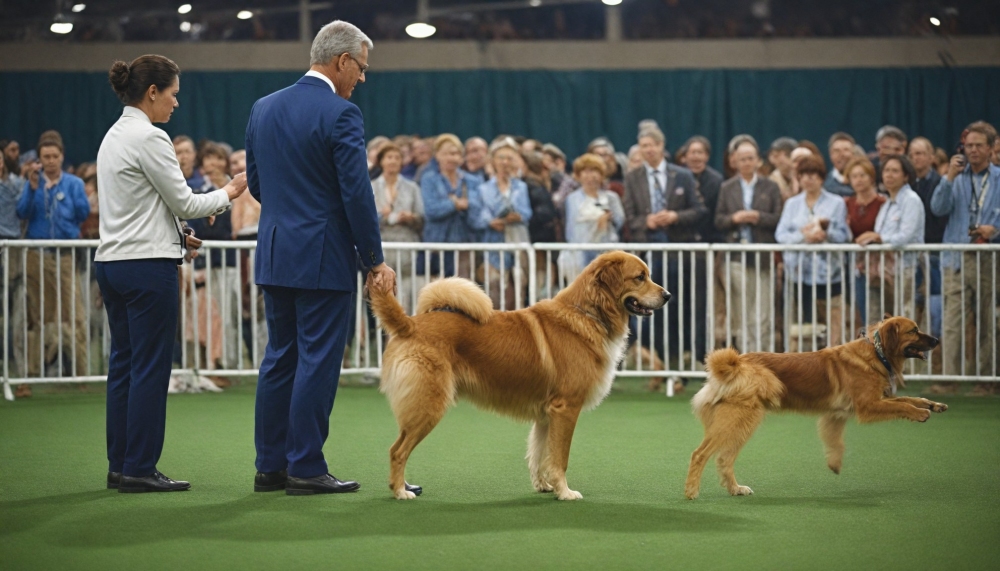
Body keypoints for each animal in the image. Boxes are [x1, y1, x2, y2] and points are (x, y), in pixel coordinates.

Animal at [368, 251, 672, 500]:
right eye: (640, 277)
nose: (668, 295)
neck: (588, 314)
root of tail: (410, 325)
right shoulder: (566, 409)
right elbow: (560, 457)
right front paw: (565, 492)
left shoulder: (547, 414)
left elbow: (540, 454)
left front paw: (546, 486)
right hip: (428, 406)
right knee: (397, 450)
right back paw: (400, 491)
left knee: (398, 448)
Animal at [684, 318, 948, 500]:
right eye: (914, 330)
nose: (937, 341)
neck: (876, 352)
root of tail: (736, 363)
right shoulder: (868, 406)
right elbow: (903, 404)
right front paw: (920, 413)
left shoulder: (854, 408)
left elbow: (909, 398)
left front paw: (932, 404)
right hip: (738, 420)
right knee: (700, 454)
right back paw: (691, 491)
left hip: (743, 423)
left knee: (724, 458)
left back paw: (736, 489)